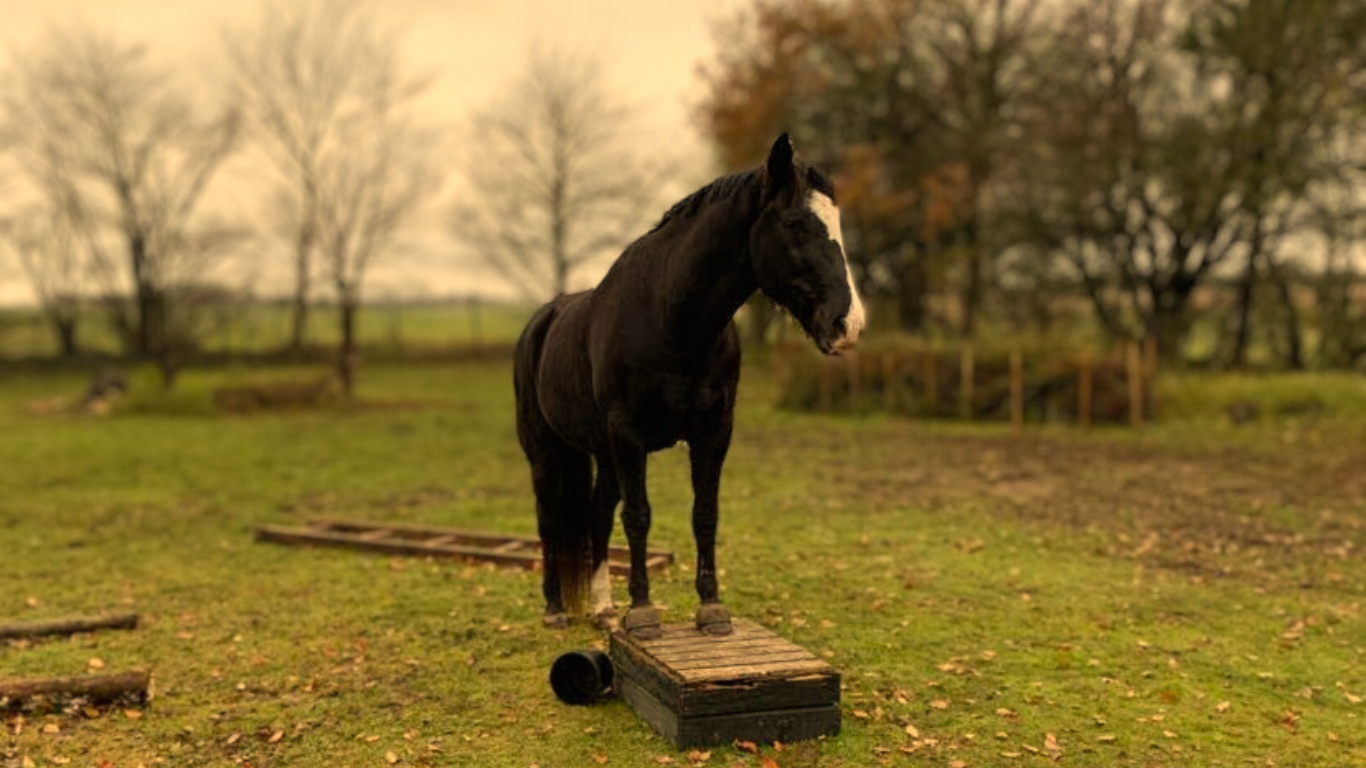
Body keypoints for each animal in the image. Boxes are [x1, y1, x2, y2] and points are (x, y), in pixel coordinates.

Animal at [513, 134, 863, 636]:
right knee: (550, 520)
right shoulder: (628, 436)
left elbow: (704, 515)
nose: (847, 324)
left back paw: (603, 610)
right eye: (795, 223)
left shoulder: (712, 433)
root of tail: (544, 318)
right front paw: (642, 613)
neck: (670, 320)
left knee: (596, 517)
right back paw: (556, 609)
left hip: (603, 455)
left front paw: (711, 608)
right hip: (545, 451)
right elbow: (638, 517)